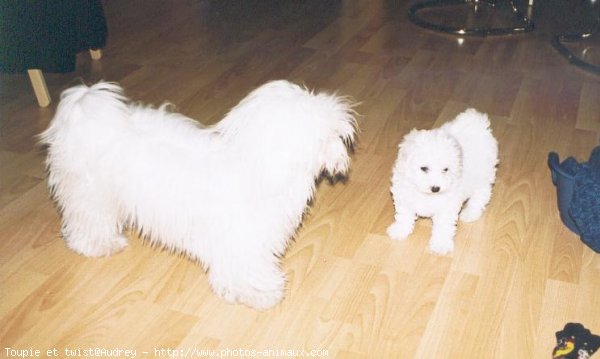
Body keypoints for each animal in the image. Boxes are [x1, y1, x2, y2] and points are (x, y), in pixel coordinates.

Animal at [41, 80, 356, 310]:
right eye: (326, 136)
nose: (342, 158)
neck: (258, 166)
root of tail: (86, 112)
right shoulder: (243, 242)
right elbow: (247, 269)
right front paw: (260, 293)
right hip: (91, 195)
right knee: (87, 223)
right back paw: (99, 245)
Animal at [386, 108, 500, 255]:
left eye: (445, 169)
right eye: (424, 168)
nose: (436, 188)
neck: (425, 194)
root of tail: (476, 121)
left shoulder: (447, 207)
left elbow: (443, 226)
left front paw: (441, 244)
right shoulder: (404, 196)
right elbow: (404, 215)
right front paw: (399, 230)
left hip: (484, 175)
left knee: (481, 196)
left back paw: (470, 213)